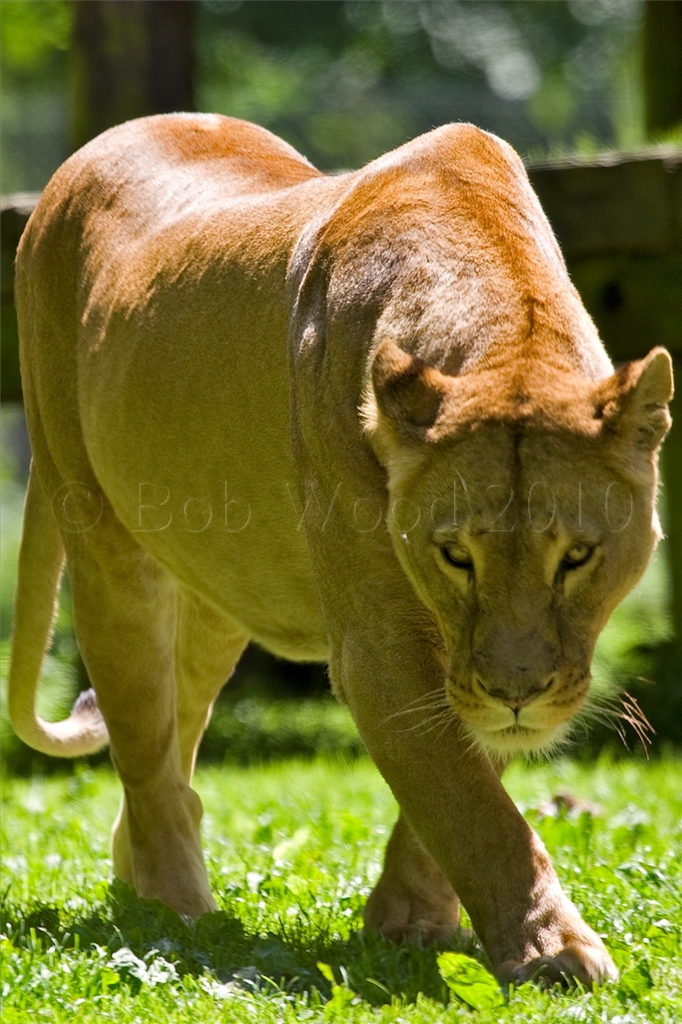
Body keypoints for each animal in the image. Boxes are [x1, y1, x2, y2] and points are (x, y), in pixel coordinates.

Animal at [8, 114, 672, 988]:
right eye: (455, 555)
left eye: (577, 556)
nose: (517, 692)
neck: (503, 327)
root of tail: (84, 156)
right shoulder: (378, 648)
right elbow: (471, 806)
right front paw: (552, 949)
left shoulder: (478, 667)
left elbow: (465, 774)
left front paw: (409, 922)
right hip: (105, 543)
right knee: (146, 755)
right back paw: (177, 916)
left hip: (219, 597)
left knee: (172, 747)